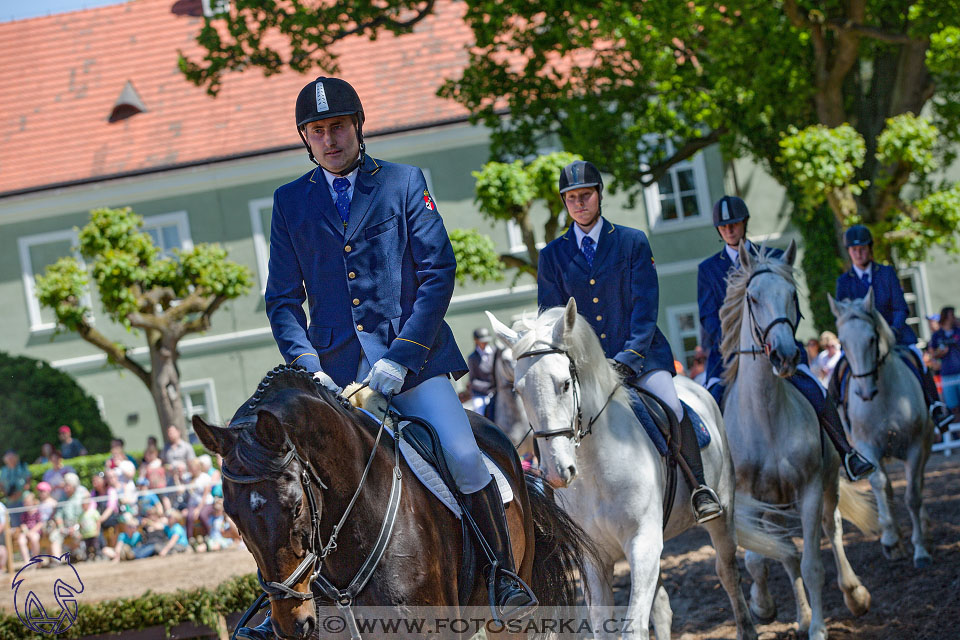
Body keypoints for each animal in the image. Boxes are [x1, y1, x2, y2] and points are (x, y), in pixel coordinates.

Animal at [492, 300, 792, 640]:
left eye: (565, 384)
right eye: (518, 391)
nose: (558, 471)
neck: (596, 468)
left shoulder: (642, 542)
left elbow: (633, 627)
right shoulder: (595, 559)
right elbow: (604, 626)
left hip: (721, 512)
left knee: (727, 571)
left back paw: (747, 627)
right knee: (662, 606)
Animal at [720, 241, 876, 640]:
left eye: (792, 295)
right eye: (752, 297)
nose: (786, 355)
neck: (767, 417)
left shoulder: (809, 489)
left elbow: (812, 564)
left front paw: (819, 628)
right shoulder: (747, 500)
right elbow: (759, 558)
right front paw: (763, 606)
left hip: (828, 484)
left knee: (832, 530)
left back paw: (854, 595)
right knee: (784, 550)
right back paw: (800, 615)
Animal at [828, 288, 932, 564]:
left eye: (872, 338)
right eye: (842, 343)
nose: (865, 392)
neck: (883, 397)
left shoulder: (915, 446)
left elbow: (913, 495)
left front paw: (920, 549)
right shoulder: (867, 447)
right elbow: (879, 485)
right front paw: (890, 539)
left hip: (926, 445)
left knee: (919, 481)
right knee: (888, 489)